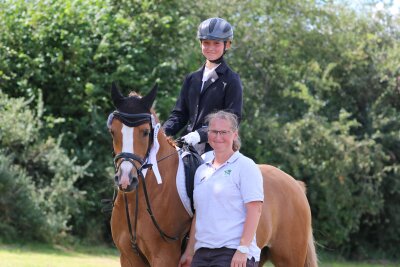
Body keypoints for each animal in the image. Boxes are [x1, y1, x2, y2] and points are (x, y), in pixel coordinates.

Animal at [107, 82, 318, 266]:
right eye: (113, 131)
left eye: (144, 132)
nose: (126, 179)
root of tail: (294, 184)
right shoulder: (128, 257)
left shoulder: (164, 257)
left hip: (289, 258)